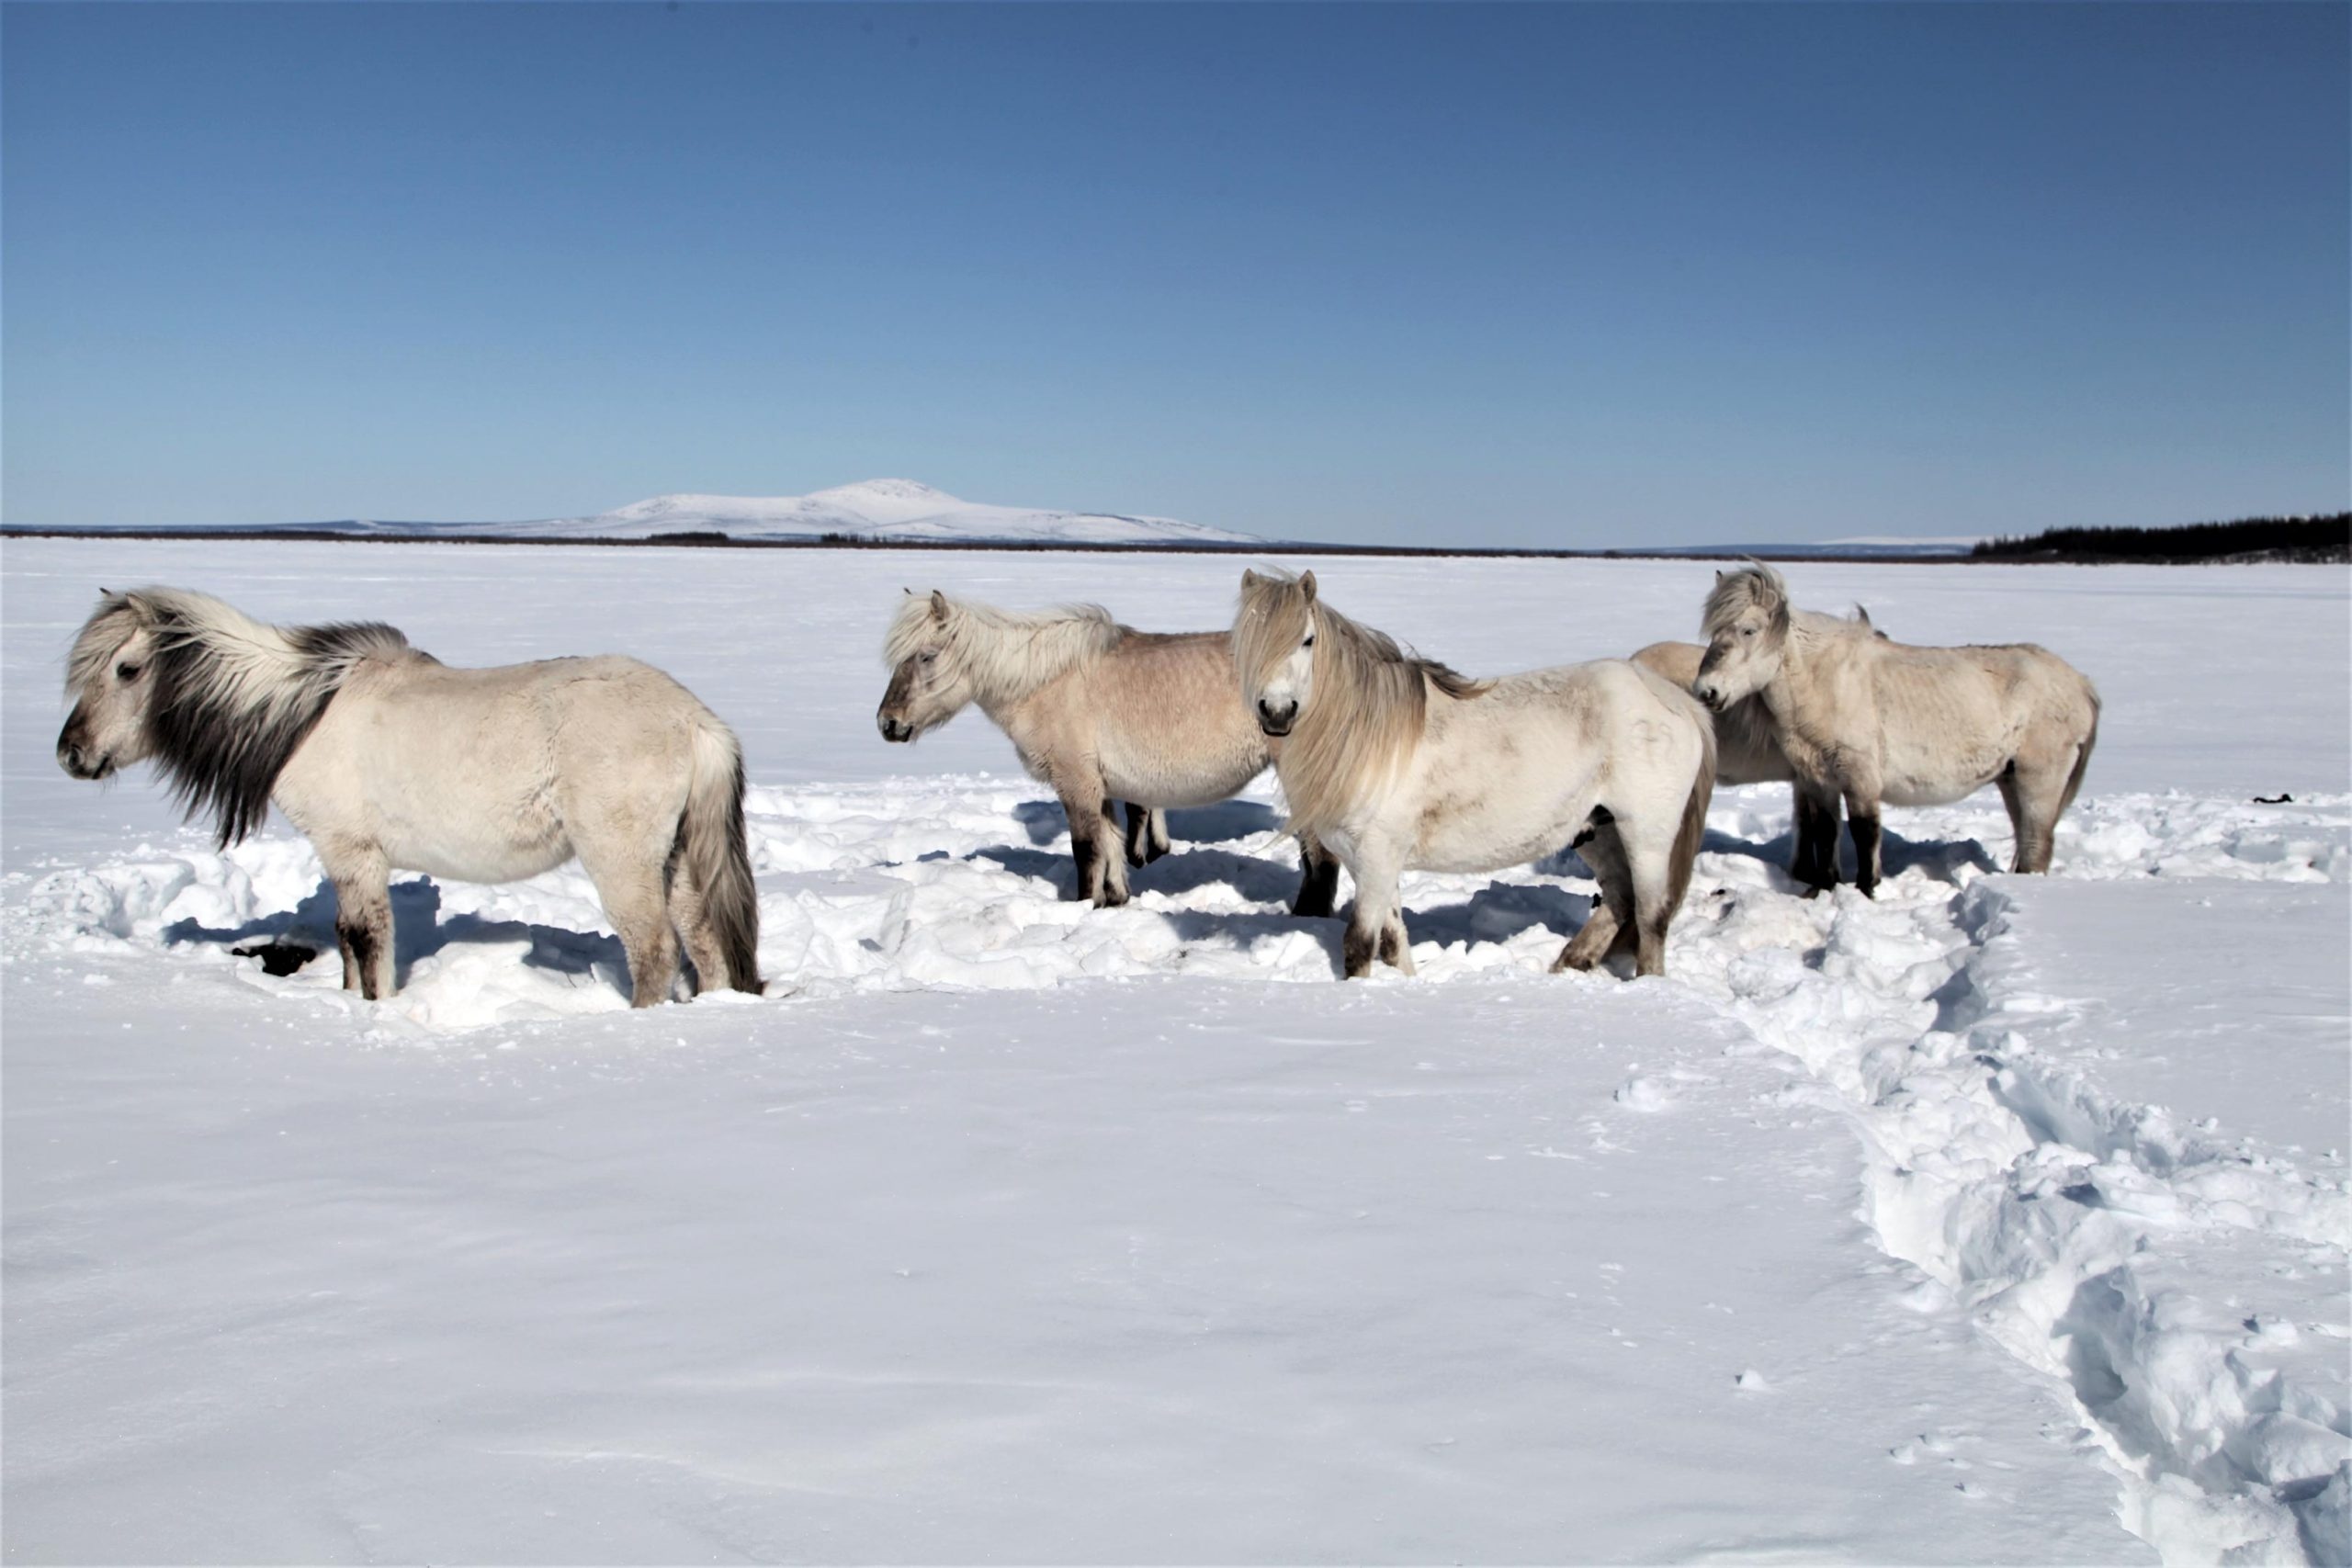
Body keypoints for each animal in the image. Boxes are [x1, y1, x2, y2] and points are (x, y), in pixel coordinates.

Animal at [55, 585, 757, 1006]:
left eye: (126, 669)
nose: (70, 753)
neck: (302, 713)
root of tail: (696, 721)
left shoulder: (352, 851)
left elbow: (366, 939)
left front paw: (375, 1007)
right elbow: (345, 939)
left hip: (622, 860)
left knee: (654, 949)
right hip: (677, 859)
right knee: (704, 942)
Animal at [879, 587, 1345, 911]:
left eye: (927, 656)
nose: (887, 724)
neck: (1046, 681)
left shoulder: (1076, 782)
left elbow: (1086, 850)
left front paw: (1084, 905)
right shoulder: (1100, 786)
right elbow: (1110, 844)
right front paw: (1113, 899)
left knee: (1320, 858)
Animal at [1232, 564, 1712, 982]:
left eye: (1307, 640)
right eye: (1245, 643)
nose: (1277, 712)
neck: (1367, 737)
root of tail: (1673, 698)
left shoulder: (1377, 854)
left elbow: (1359, 944)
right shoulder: (1365, 861)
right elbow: (1393, 940)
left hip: (1646, 834)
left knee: (1651, 915)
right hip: (1597, 830)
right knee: (1620, 900)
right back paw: (1568, 966)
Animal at [1683, 566, 2107, 893]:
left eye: (1749, 630)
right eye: (1715, 632)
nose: (1706, 692)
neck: (1824, 682)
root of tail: (2081, 683)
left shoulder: (1860, 778)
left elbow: (1864, 833)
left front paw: (1866, 890)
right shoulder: (1817, 779)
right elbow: (1825, 833)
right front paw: (1823, 889)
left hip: (2039, 782)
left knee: (2035, 843)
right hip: (2011, 780)